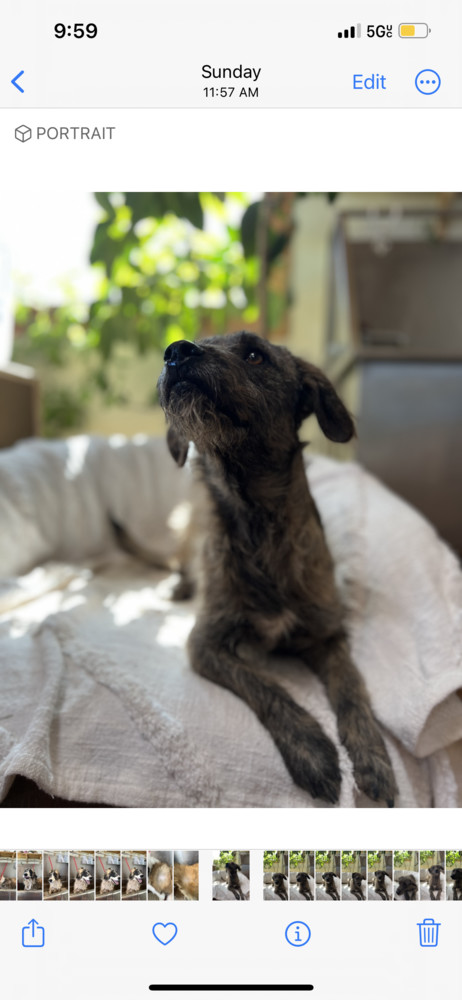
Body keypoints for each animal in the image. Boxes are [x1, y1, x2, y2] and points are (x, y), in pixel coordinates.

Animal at [158, 332, 398, 808]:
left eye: (255, 354)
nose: (176, 351)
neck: (259, 524)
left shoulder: (328, 635)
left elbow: (352, 689)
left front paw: (373, 756)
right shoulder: (205, 644)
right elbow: (266, 686)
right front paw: (312, 749)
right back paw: (176, 586)